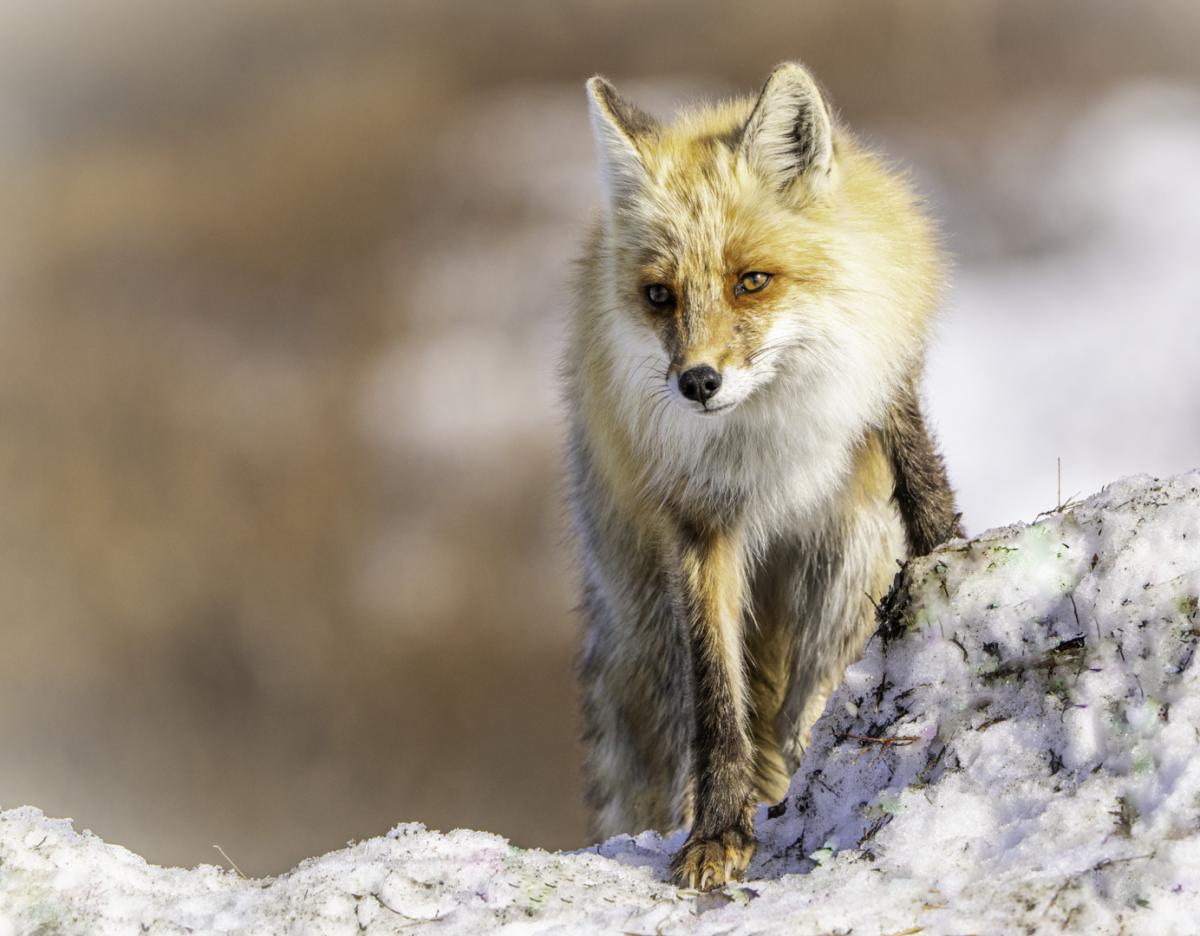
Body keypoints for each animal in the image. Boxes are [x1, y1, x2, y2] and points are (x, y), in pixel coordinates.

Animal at [564, 62, 962, 891]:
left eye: (751, 281)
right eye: (660, 295)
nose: (697, 382)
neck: (773, 445)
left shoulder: (882, 405)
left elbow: (925, 498)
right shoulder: (697, 524)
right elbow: (718, 702)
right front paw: (718, 833)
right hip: (648, 639)